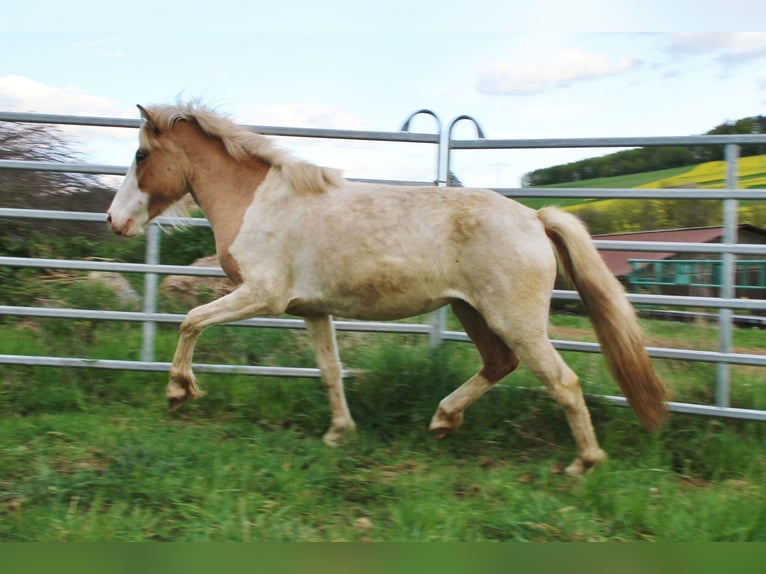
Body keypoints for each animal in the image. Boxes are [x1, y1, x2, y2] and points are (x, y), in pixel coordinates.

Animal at [106, 102, 667, 475]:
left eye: (140, 154)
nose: (114, 221)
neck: (260, 201)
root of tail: (534, 218)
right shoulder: (311, 309)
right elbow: (330, 372)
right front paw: (339, 433)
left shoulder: (261, 295)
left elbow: (189, 321)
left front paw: (178, 392)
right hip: (472, 313)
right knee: (498, 364)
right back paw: (442, 421)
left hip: (517, 321)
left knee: (563, 382)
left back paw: (583, 464)